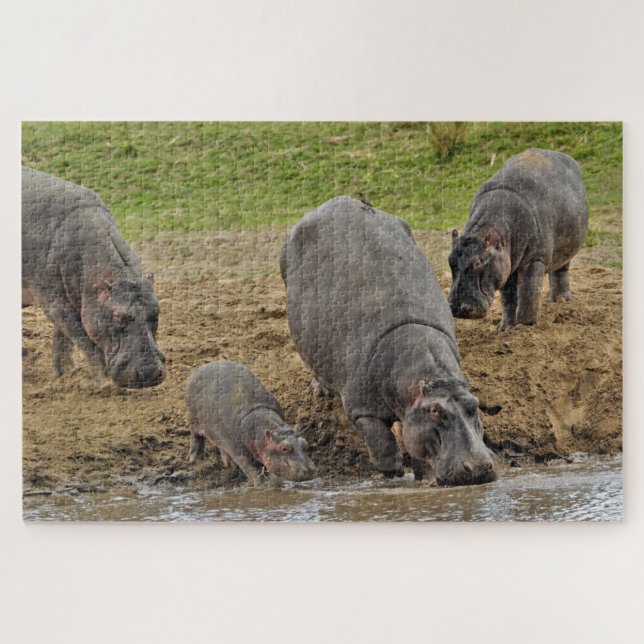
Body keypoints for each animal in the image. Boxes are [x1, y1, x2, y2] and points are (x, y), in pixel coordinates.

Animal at [22, 167, 166, 388]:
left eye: (156, 312)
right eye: (118, 316)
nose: (148, 373)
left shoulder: (68, 300)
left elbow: (62, 338)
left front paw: (67, 374)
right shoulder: (55, 304)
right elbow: (83, 339)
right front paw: (104, 384)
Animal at [185, 360, 317, 485]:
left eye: (305, 443)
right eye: (284, 448)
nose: (310, 470)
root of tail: (200, 368)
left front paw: (276, 485)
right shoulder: (238, 451)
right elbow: (252, 472)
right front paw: (261, 486)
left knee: (221, 447)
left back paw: (228, 464)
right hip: (194, 420)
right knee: (196, 437)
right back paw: (193, 459)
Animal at [280, 196, 497, 486]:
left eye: (475, 404)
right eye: (435, 411)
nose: (479, 468)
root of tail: (334, 201)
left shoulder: (413, 414)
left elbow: (416, 448)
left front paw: (423, 478)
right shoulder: (361, 409)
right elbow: (383, 448)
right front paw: (392, 477)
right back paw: (321, 390)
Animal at [449, 148, 589, 330]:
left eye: (478, 262)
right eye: (450, 260)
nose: (456, 308)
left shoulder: (535, 259)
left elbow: (529, 294)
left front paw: (527, 326)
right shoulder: (505, 265)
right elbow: (508, 299)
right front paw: (506, 328)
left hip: (567, 247)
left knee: (561, 269)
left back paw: (562, 300)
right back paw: (553, 300)